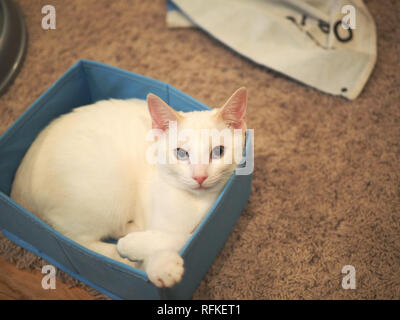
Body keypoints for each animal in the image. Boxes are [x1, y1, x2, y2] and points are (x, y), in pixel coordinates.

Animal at [10, 87, 247, 288]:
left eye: (218, 152)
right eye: (181, 153)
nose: (200, 176)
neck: (196, 203)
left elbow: (183, 237)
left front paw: (144, 249)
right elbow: (174, 236)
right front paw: (161, 265)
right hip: (107, 191)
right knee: (75, 240)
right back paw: (123, 253)